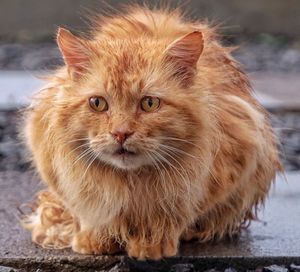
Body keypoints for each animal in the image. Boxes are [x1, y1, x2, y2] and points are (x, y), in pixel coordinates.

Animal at [22, 4, 282, 260]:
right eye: (97, 103)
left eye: (149, 103)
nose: (121, 133)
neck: (130, 187)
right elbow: (90, 215)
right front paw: (95, 240)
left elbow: (171, 217)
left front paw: (152, 244)